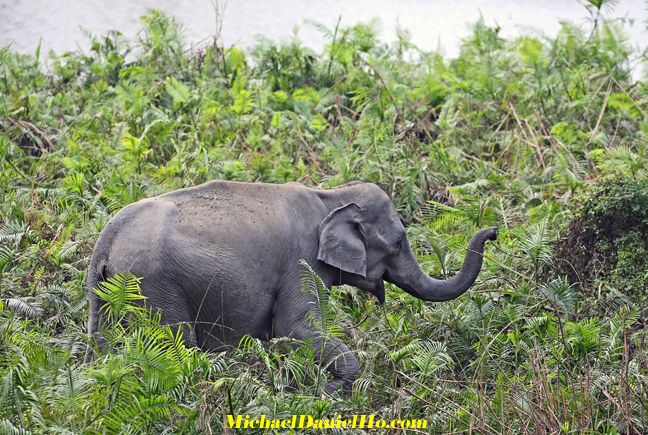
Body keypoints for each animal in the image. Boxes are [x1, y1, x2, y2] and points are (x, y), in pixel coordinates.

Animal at [86, 181, 498, 396]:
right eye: (397, 243)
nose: (493, 230)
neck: (330, 195)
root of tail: (106, 239)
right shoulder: (302, 262)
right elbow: (293, 329)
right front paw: (329, 394)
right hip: (154, 287)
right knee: (177, 350)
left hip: (107, 295)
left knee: (104, 348)